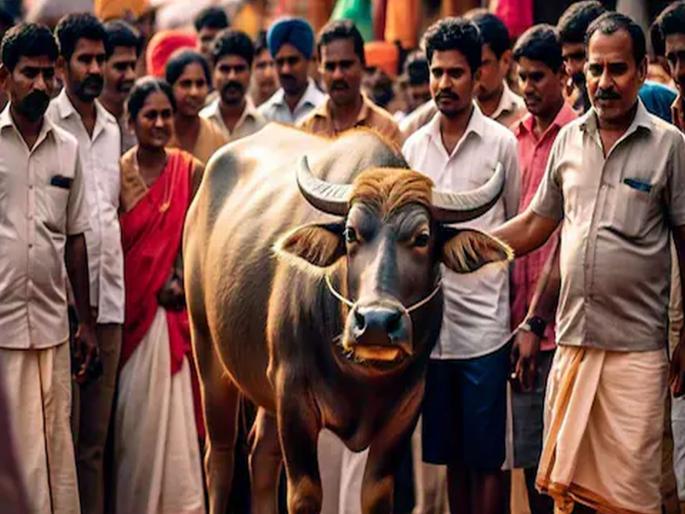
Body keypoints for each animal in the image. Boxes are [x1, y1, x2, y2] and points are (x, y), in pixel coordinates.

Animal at [183, 124, 511, 514]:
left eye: (422, 237)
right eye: (351, 234)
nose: (377, 323)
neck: (360, 373)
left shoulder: (406, 409)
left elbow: (376, 494)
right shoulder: (293, 396)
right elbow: (305, 494)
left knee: (261, 455)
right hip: (207, 349)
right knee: (219, 455)